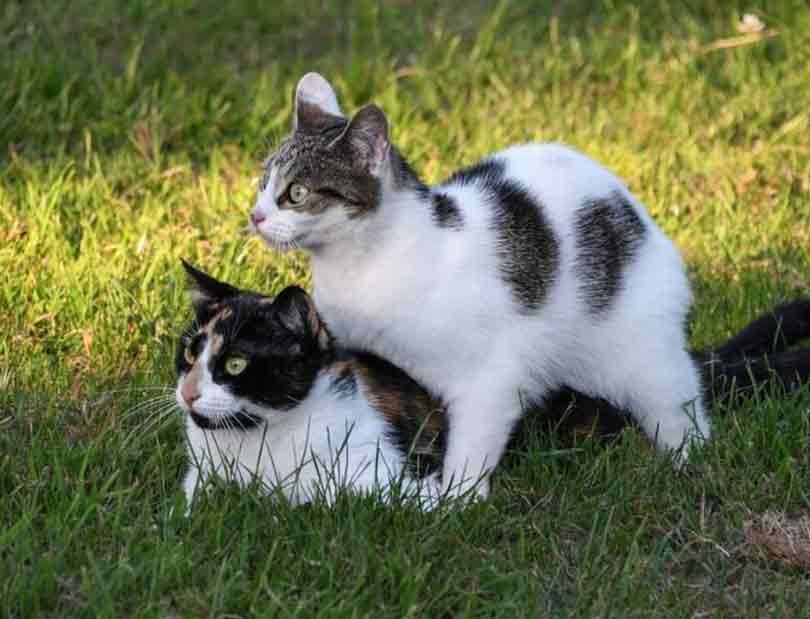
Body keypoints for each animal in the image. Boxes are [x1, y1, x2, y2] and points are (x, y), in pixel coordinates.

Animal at [175, 260, 808, 508]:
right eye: (189, 350)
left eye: (236, 364)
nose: (187, 392)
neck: (256, 449)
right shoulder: (199, 479)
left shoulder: (382, 478)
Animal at [249, 72, 780, 498]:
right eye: (262, 183)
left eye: (295, 193)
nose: (254, 216)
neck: (365, 262)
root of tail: (631, 206)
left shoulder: (488, 379)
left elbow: (474, 443)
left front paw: (456, 501)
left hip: (642, 350)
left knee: (676, 398)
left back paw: (685, 462)